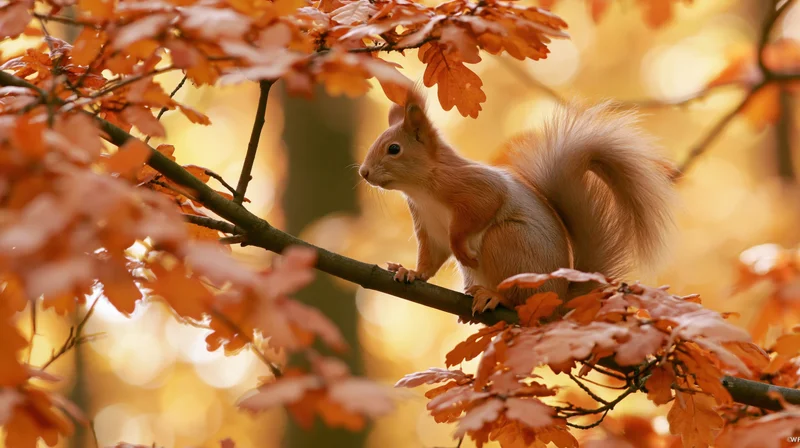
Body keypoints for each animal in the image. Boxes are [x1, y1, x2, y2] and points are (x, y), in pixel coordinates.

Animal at [358, 88, 676, 315]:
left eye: (394, 149)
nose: (364, 172)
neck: (420, 190)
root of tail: (559, 298)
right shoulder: (428, 226)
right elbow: (430, 257)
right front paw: (411, 272)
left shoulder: (472, 186)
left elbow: (482, 207)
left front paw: (461, 249)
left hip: (507, 241)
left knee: (517, 297)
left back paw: (495, 296)